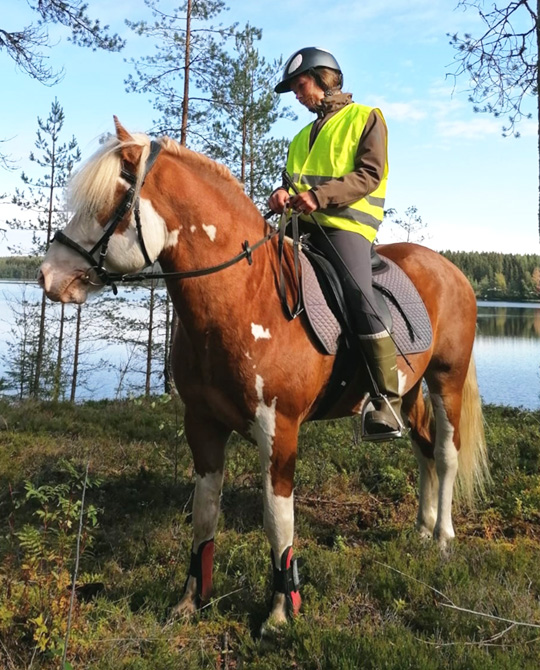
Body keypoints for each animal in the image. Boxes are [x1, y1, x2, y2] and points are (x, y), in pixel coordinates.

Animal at [39, 117, 490, 632]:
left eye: (109, 204)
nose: (48, 275)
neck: (245, 297)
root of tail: (453, 270)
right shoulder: (202, 425)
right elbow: (204, 514)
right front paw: (191, 599)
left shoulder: (279, 429)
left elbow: (278, 521)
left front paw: (280, 608)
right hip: (408, 393)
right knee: (423, 451)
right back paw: (421, 526)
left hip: (445, 380)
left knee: (446, 454)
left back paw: (443, 536)